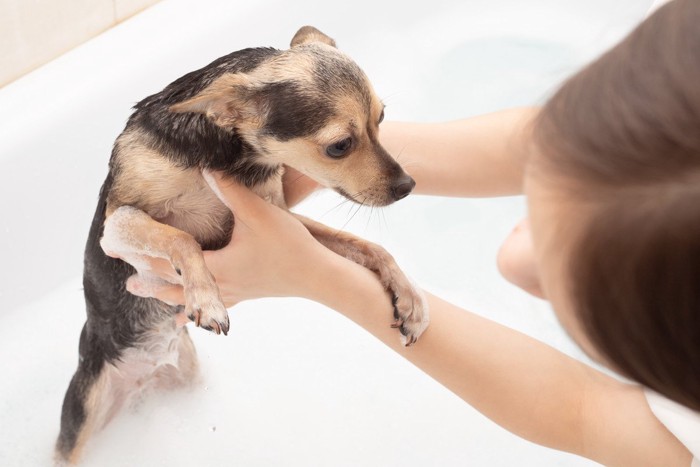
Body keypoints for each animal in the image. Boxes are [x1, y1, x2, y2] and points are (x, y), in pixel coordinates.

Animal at [56, 27, 426, 466]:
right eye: (339, 146)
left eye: (381, 119)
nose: (407, 186)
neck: (232, 158)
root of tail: (139, 378)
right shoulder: (117, 226)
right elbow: (182, 238)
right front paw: (206, 297)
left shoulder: (280, 220)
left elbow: (369, 246)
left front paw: (409, 299)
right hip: (83, 409)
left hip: (187, 376)